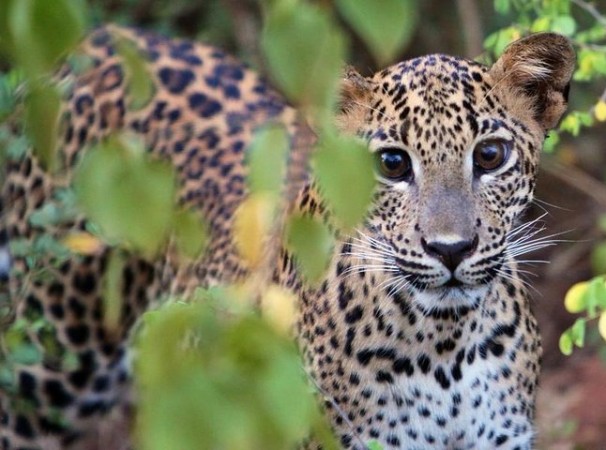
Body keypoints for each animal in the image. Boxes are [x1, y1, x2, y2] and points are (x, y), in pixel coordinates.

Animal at [0, 24, 575, 450]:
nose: (450, 249)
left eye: (490, 155)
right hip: (50, 356)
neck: (447, 348)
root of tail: (100, 38)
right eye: (392, 164)